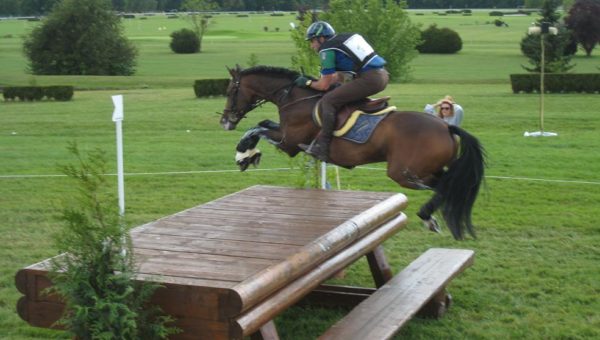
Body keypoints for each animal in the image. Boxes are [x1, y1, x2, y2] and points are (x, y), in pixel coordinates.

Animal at [218, 65, 486, 240]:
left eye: (231, 90)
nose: (225, 122)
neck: (294, 97)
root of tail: (446, 126)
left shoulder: (289, 142)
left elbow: (257, 128)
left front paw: (244, 155)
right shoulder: (285, 136)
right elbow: (262, 124)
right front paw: (248, 154)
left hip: (404, 173)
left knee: (445, 186)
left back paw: (426, 215)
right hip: (428, 169)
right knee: (448, 182)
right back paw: (429, 216)